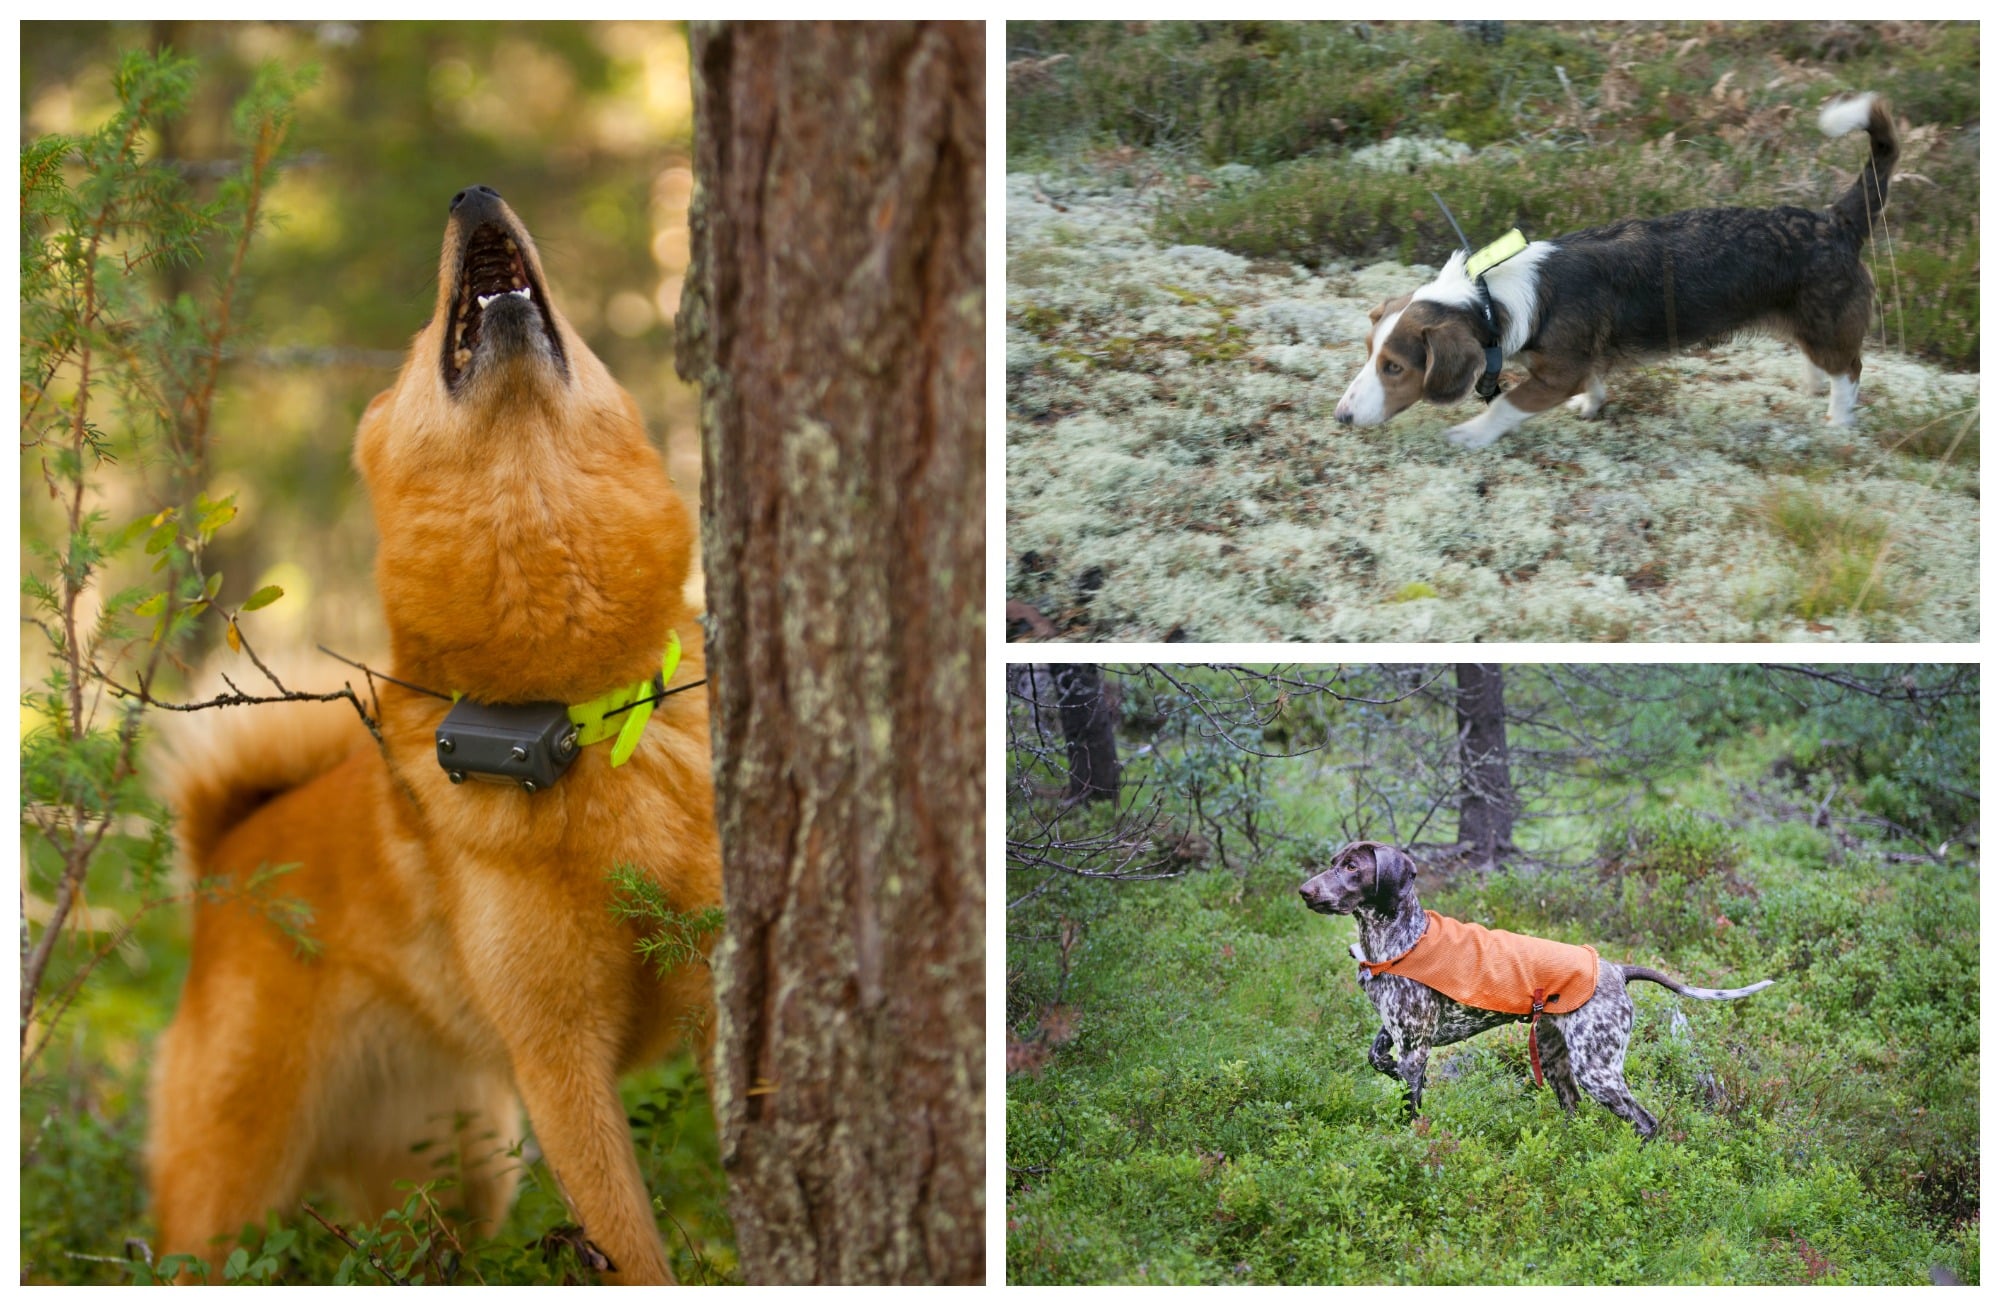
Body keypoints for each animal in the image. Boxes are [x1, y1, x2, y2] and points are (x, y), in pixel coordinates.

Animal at [154, 183, 720, 1280]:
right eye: (425, 336)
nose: (472, 191)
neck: (584, 713)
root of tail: (226, 858)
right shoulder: (559, 1057)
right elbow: (632, 1243)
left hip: (452, 1173)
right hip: (224, 1202)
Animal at [1296, 840, 1784, 1136]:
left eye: (1352, 867)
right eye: (1334, 863)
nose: (1303, 891)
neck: (1398, 940)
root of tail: (1615, 969)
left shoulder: (1415, 1046)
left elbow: (1409, 1105)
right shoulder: (1398, 1032)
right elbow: (1378, 1059)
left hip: (1597, 1070)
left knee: (1645, 1122)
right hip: (1555, 1058)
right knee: (1574, 1111)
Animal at [1336, 91, 1896, 448]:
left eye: (1395, 367)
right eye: (1369, 353)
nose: (1340, 417)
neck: (1494, 297)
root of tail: (1835, 220)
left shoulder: (1554, 375)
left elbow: (1505, 405)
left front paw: (1472, 434)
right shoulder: (1577, 363)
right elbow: (1593, 380)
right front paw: (1591, 405)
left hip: (1829, 329)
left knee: (1850, 370)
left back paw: (1838, 421)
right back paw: (1812, 385)